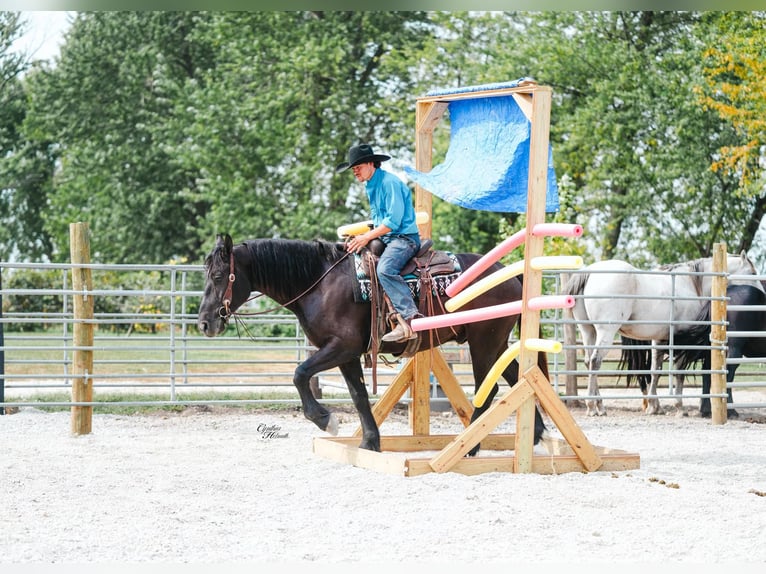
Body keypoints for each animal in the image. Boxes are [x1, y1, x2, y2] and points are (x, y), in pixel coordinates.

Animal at [197, 233, 549, 453]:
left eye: (218, 276)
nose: (204, 323)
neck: (320, 284)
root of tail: (511, 274)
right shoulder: (346, 355)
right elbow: (359, 396)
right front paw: (370, 443)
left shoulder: (342, 347)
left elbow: (299, 374)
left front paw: (326, 420)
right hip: (496, 343)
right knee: (519, 378)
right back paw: (535, 435)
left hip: (484, 341)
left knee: (488, 390)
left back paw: (470, 446)